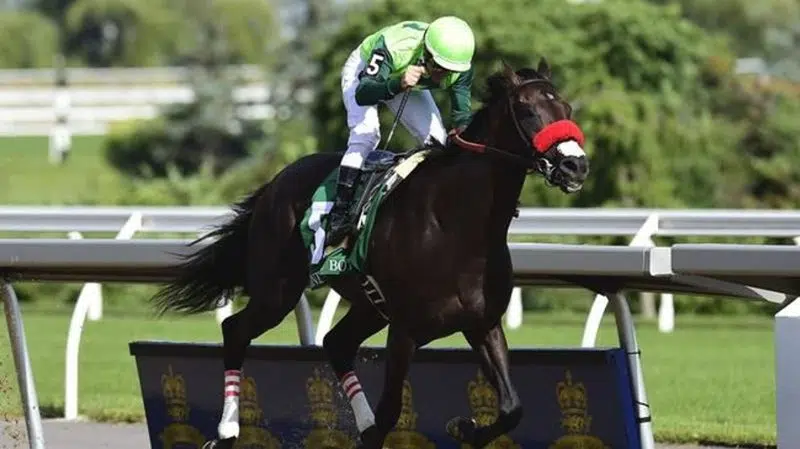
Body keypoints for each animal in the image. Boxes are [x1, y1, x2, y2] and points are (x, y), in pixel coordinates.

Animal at [150, 58, 589, 449]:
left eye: (566, 109)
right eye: (528, 110)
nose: (575, 166)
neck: (457, 224)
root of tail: (274, 185)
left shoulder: (482, 323)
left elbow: (512, 407)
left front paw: (465, 428)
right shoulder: (405, 330)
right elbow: (392, 409)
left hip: (368, 305)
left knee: (336, 344)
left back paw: (360, 426)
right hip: (278, 291)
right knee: (236, 331)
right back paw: (226, 432)